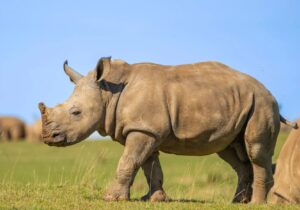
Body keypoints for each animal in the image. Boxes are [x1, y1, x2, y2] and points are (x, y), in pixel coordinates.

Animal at [38, 57, 296, 203]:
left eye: (76, 112)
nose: (47, 137)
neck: (108, 92)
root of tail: (268, 91)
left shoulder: (143, 130)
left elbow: (129, 161)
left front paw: (111, 198)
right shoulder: (146, 129)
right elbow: (149, 166)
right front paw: (154, 199)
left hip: (262, 104)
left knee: (255, 151)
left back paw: (255, 204)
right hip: (242, 103)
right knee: (232, 153)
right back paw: (237, 202)